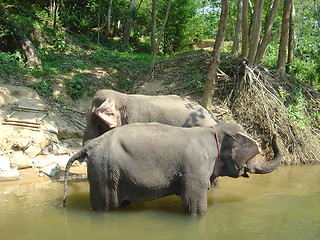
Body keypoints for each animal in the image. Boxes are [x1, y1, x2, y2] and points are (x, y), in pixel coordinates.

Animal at [63, 122, 282, 216]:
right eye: (255, 151)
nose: (276, 133)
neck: (214, 130)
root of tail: (90, 146)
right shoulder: (195, 167)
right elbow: (195, 204)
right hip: (104, 172)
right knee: (105, 206)